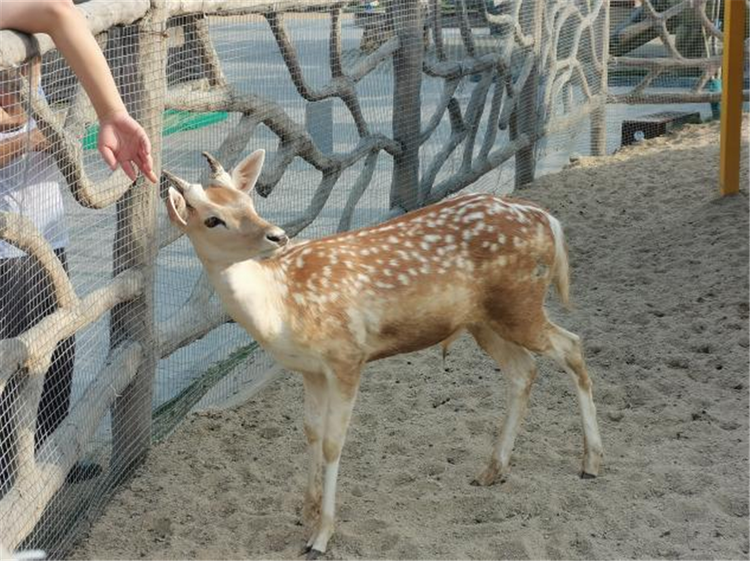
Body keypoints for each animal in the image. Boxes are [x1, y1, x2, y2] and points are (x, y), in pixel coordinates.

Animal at [163, 149, 604, 556]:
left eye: (248, 201)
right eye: (212, 219)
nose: (277, 235)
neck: (280, 309)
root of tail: (546, 219)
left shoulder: (347, 356)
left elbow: (333, 443)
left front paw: (321, 536)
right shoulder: (310, 370)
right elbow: (309, 432)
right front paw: (306, 512)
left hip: (518, 305)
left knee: (572, 346)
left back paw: (592, 463)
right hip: (485, 321)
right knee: (524, 370)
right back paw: (492, 470)